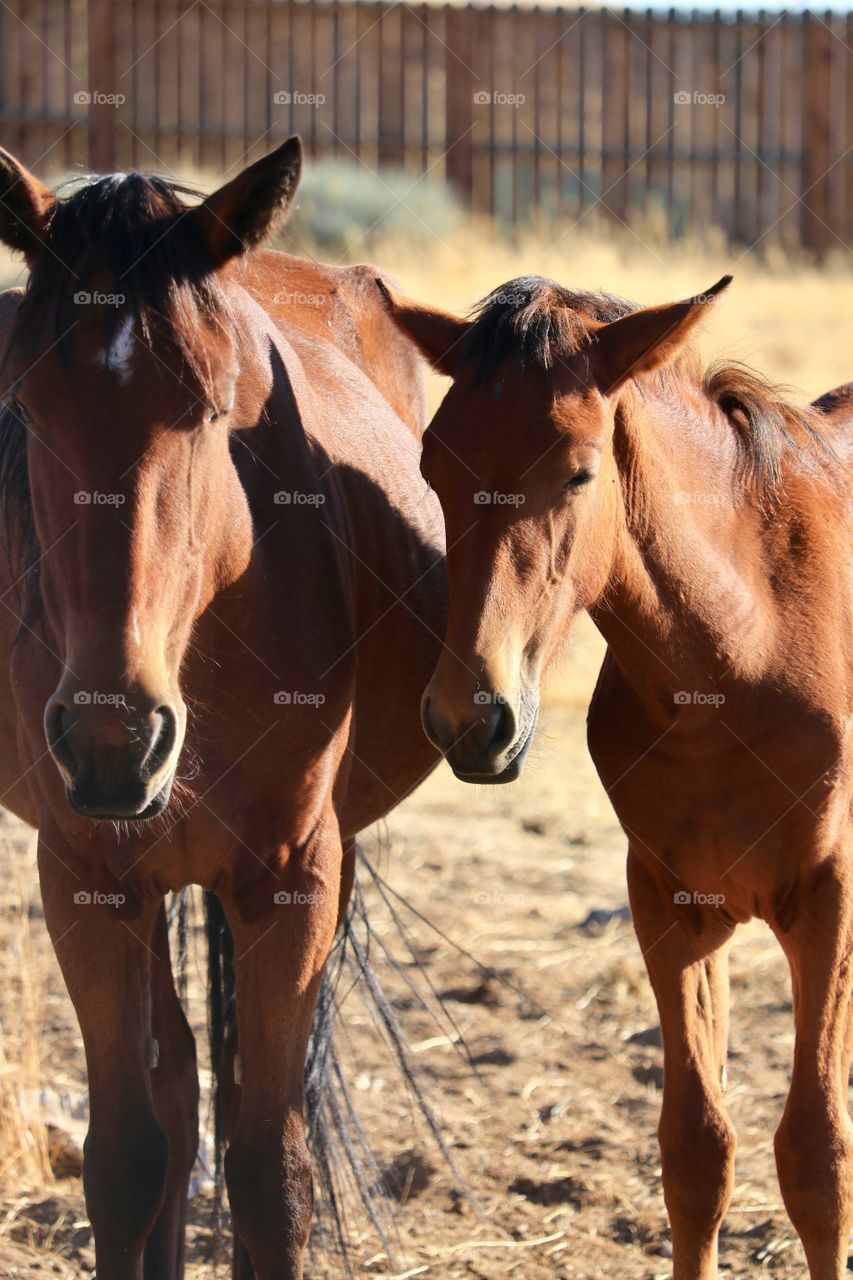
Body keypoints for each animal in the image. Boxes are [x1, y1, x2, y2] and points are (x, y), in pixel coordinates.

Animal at [0, 142, 445, 1280]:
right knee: (174, 1087)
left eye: (207, 409)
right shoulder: (86, 878)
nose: (114, 738)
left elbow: (270, 1170)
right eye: (27, 408)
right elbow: (124, 1156)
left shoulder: (291, 878)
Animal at [379, 277, 850, 1280]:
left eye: (578, 472)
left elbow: (817, 1156)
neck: (744, 642)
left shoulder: (827, 903)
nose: (471, 718)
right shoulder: (670, 905)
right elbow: (696, 1151)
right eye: (434, 464)